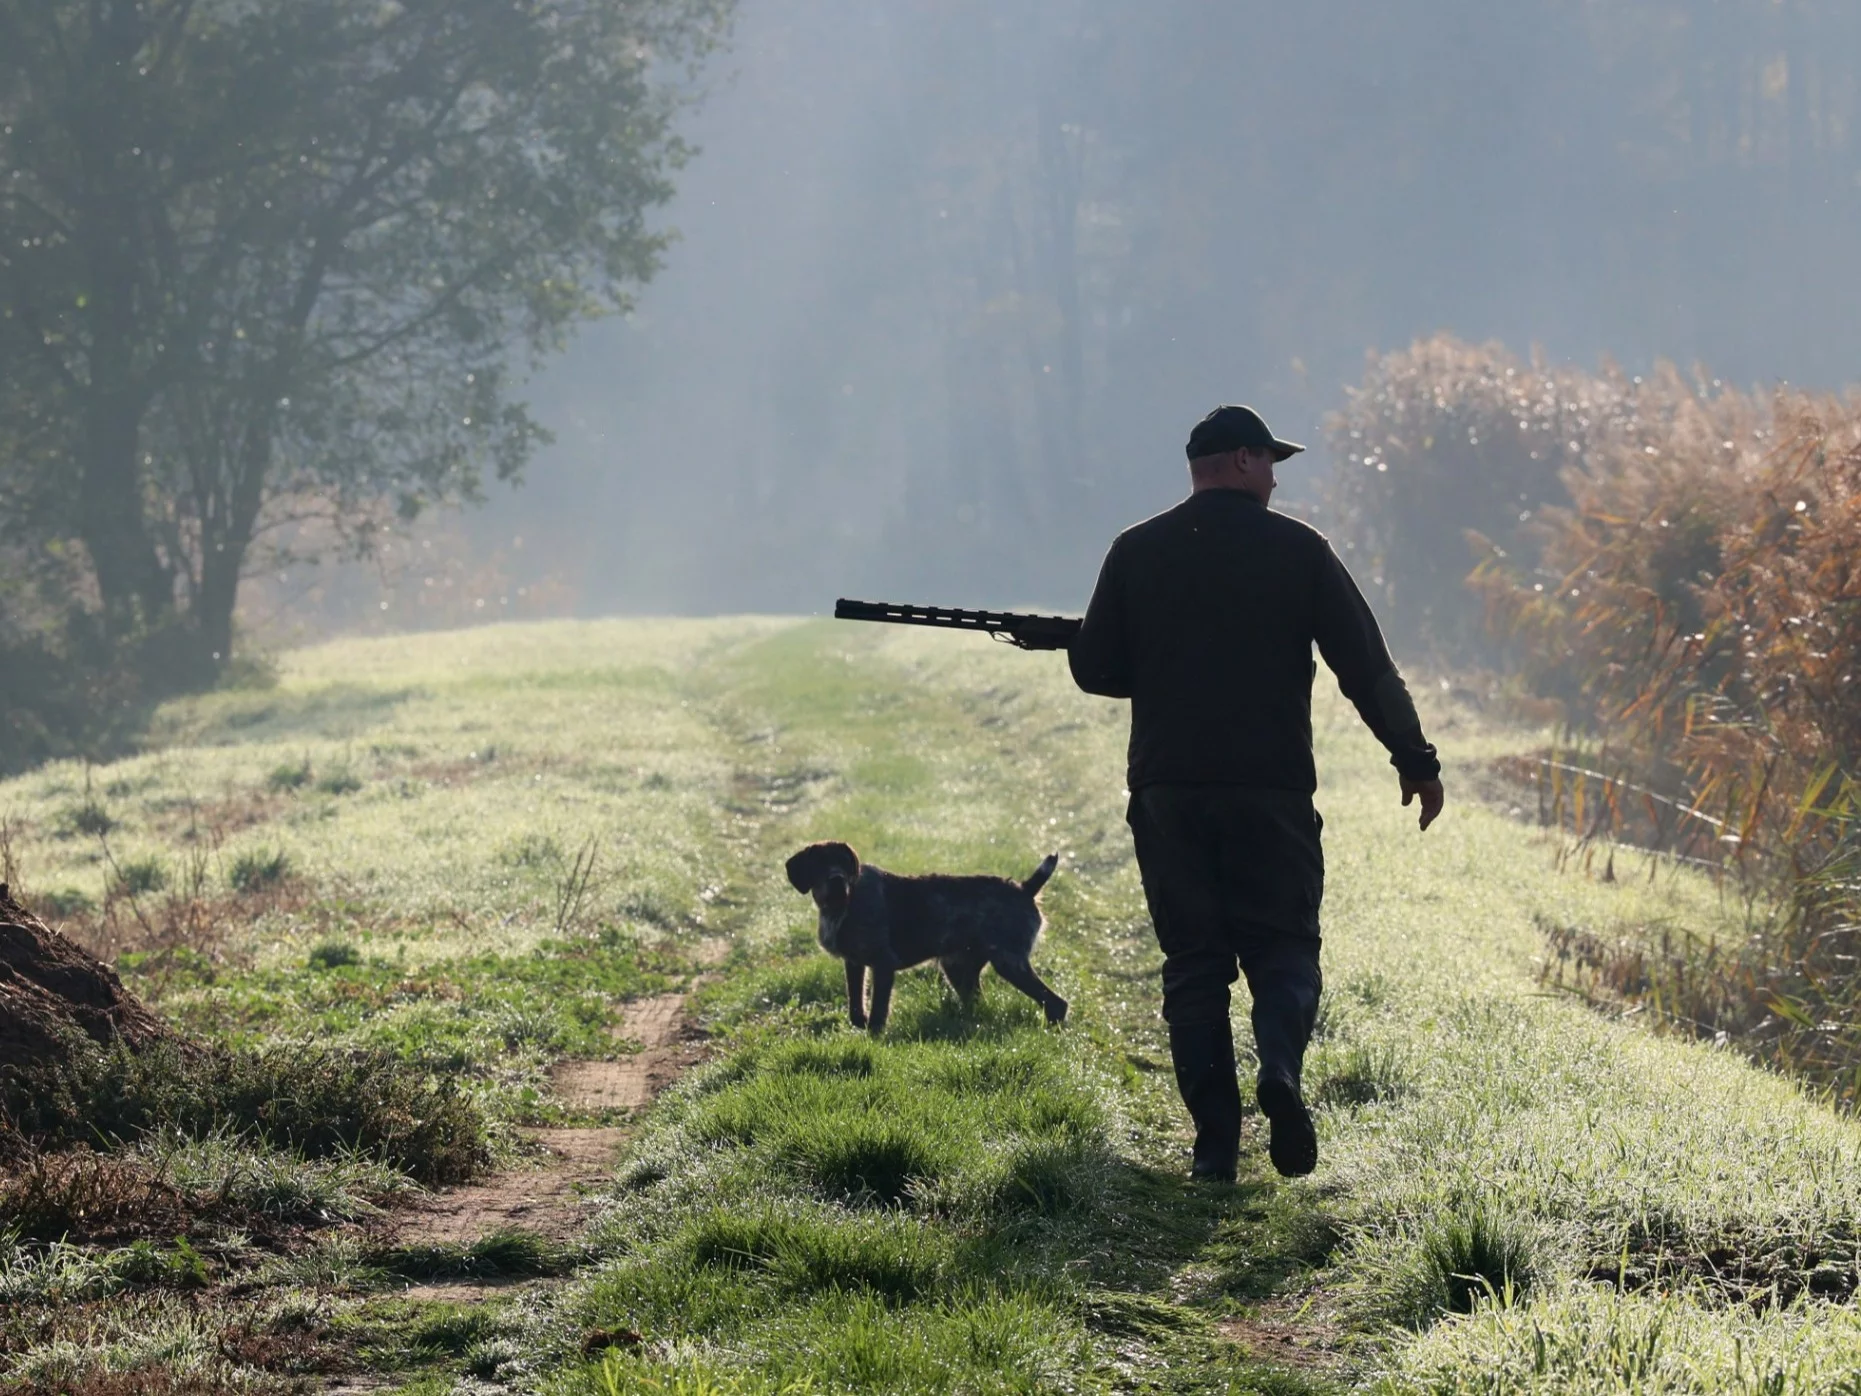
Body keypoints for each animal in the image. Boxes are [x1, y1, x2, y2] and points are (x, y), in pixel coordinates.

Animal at [781, 841, 1071, 1042]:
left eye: (843, 863)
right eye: (819, 864)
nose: (837, 880)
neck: (843, 905)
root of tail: (1025, 888)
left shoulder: (883, 965)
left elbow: (877, 1013)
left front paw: (875, 1037)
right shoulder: (855, 964)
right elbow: (855, 1008)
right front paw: (861, 1023)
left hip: (1008, 963)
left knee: (1056, 1004)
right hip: (958, 969)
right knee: (980, 1002)